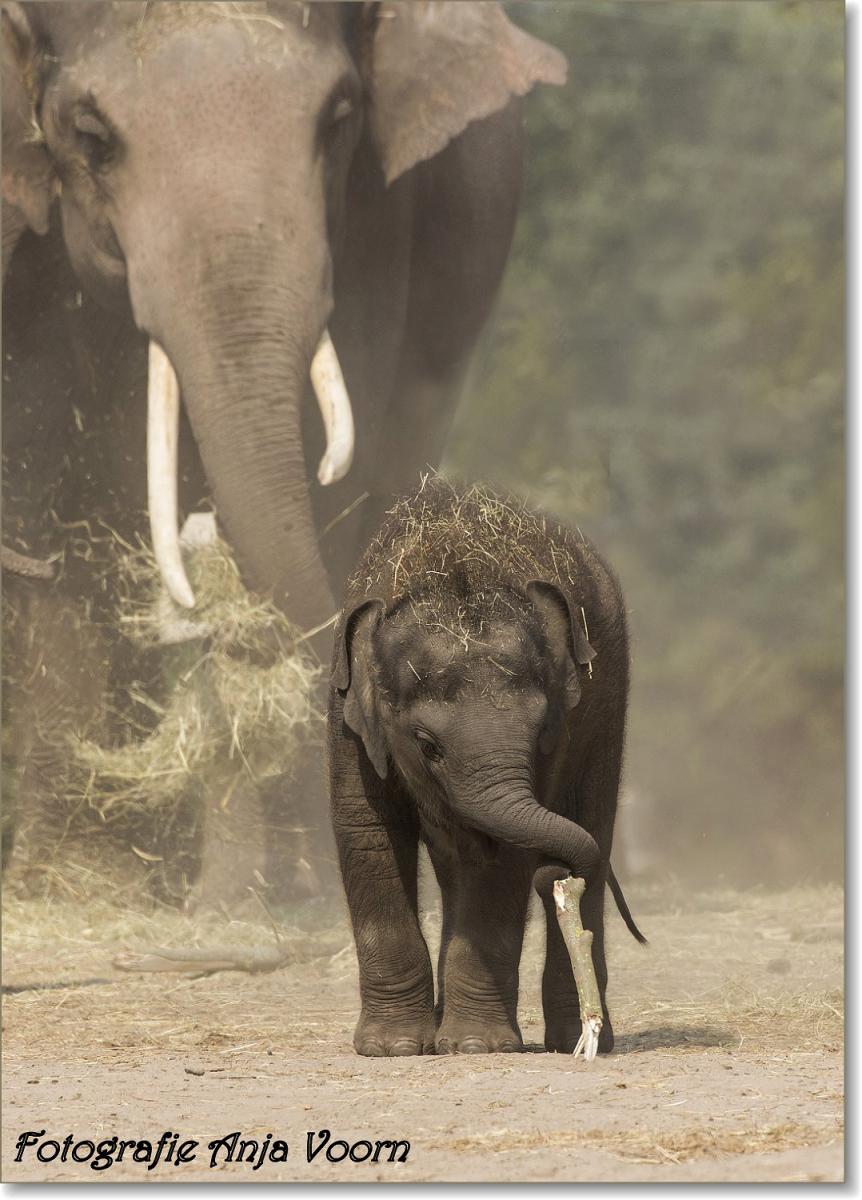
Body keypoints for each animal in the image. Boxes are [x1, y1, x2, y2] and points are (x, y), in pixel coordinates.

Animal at [1, 2, 566, 894]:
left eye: (338, 120)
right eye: (90, 137)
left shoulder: (374, 218)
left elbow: (329, 466)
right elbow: (40, 456)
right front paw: (69, 883)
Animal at [328, 477, 645, 1057]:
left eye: (540, 729)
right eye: (425, 744)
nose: (556, 872)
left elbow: (502, 859)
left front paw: (477, 1046)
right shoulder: (346, 719)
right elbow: (366, 832)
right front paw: (393, 1049)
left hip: (611, 693)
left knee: (591, 820)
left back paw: (576, 1040)